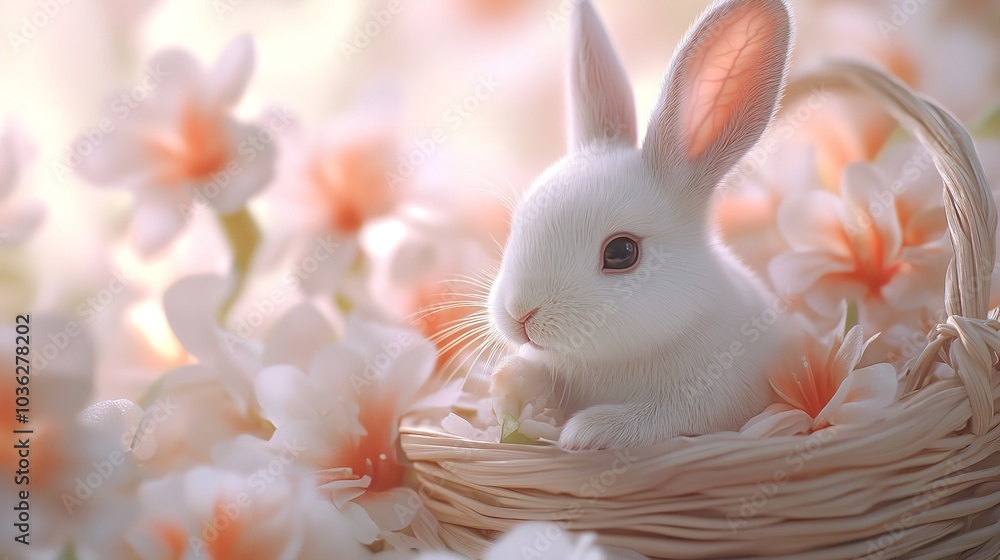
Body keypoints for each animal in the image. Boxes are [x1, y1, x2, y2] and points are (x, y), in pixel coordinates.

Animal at [488, 0, 795, 450]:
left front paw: (586, 432)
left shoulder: (703, 402)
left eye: (621, 252)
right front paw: (506, 381)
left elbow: (653, 420)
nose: (520, 314)